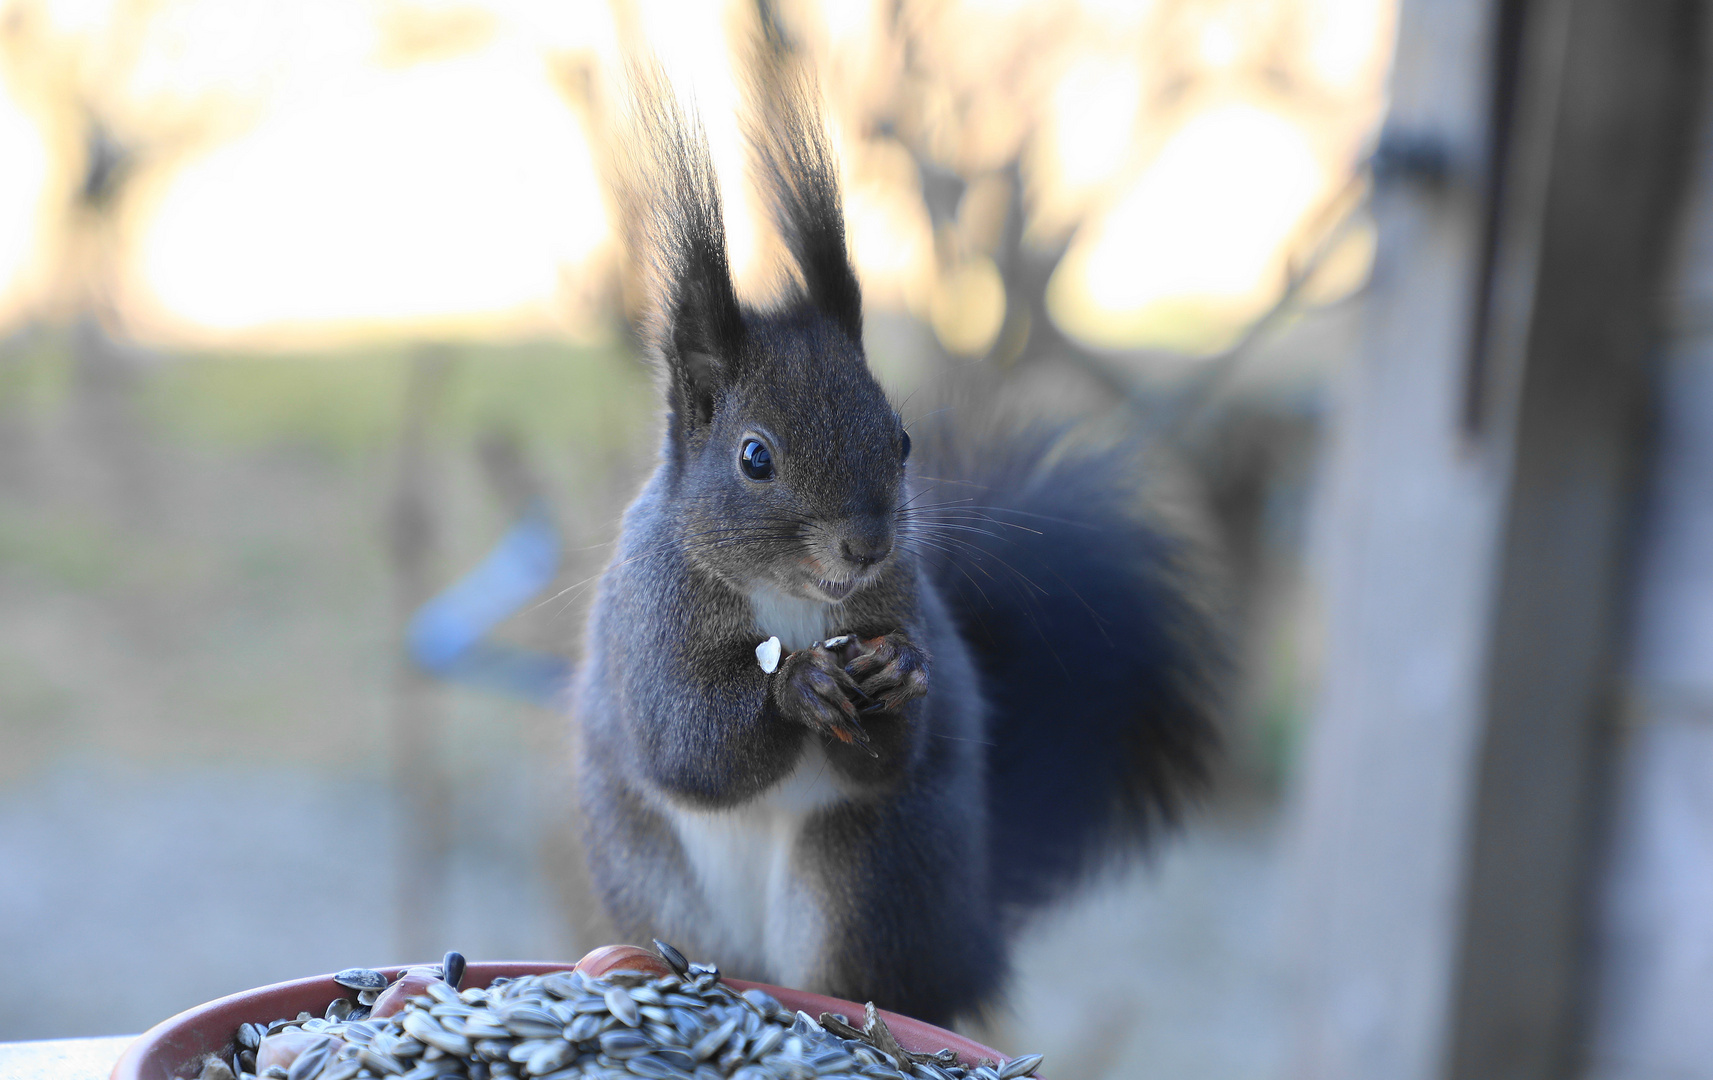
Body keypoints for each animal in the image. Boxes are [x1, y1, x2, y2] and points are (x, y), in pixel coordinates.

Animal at [575, 63, 1219, 1028]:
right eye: (754, 457)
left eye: (902, 440)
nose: (867, 544)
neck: (797, 604)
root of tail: (970, 947)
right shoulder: (648, 622)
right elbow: (688, 745)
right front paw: (796, 687)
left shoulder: (900, 601)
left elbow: (887, 756)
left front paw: (898, 674)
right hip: (665, 881)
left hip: (868, 875)